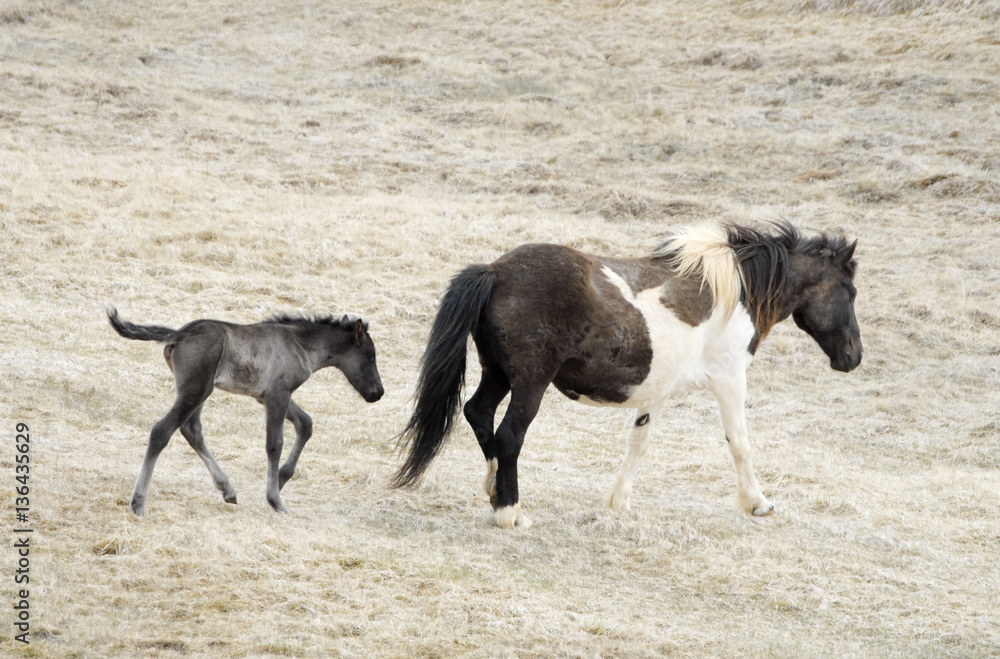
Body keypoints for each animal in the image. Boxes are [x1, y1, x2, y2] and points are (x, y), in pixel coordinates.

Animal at [108, 306, 382, 520]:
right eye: (370, 356)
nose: (378, 392)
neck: (299, 344)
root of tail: (179, 334)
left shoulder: (268, 396)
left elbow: (306, 424)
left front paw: (281, 479)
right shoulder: (278, 394)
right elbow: (274, 443)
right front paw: (275, 500)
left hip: (199, 391)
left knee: (191, 430)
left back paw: (227, 490)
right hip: (196, 390)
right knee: (162, 430)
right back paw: (138, 503)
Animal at [394, 224, 864, 528]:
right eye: (851, 291)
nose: (854, 356)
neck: (736, 291)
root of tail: (494, 270)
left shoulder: (655, 393)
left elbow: (638, 444)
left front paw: (618, 501)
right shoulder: (730, 380)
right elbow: (740, 444)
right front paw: (757, 503)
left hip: (498, 373)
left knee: (478, 414)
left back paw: (494, 490)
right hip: (530, 382)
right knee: (509, 435)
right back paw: (510, 512)